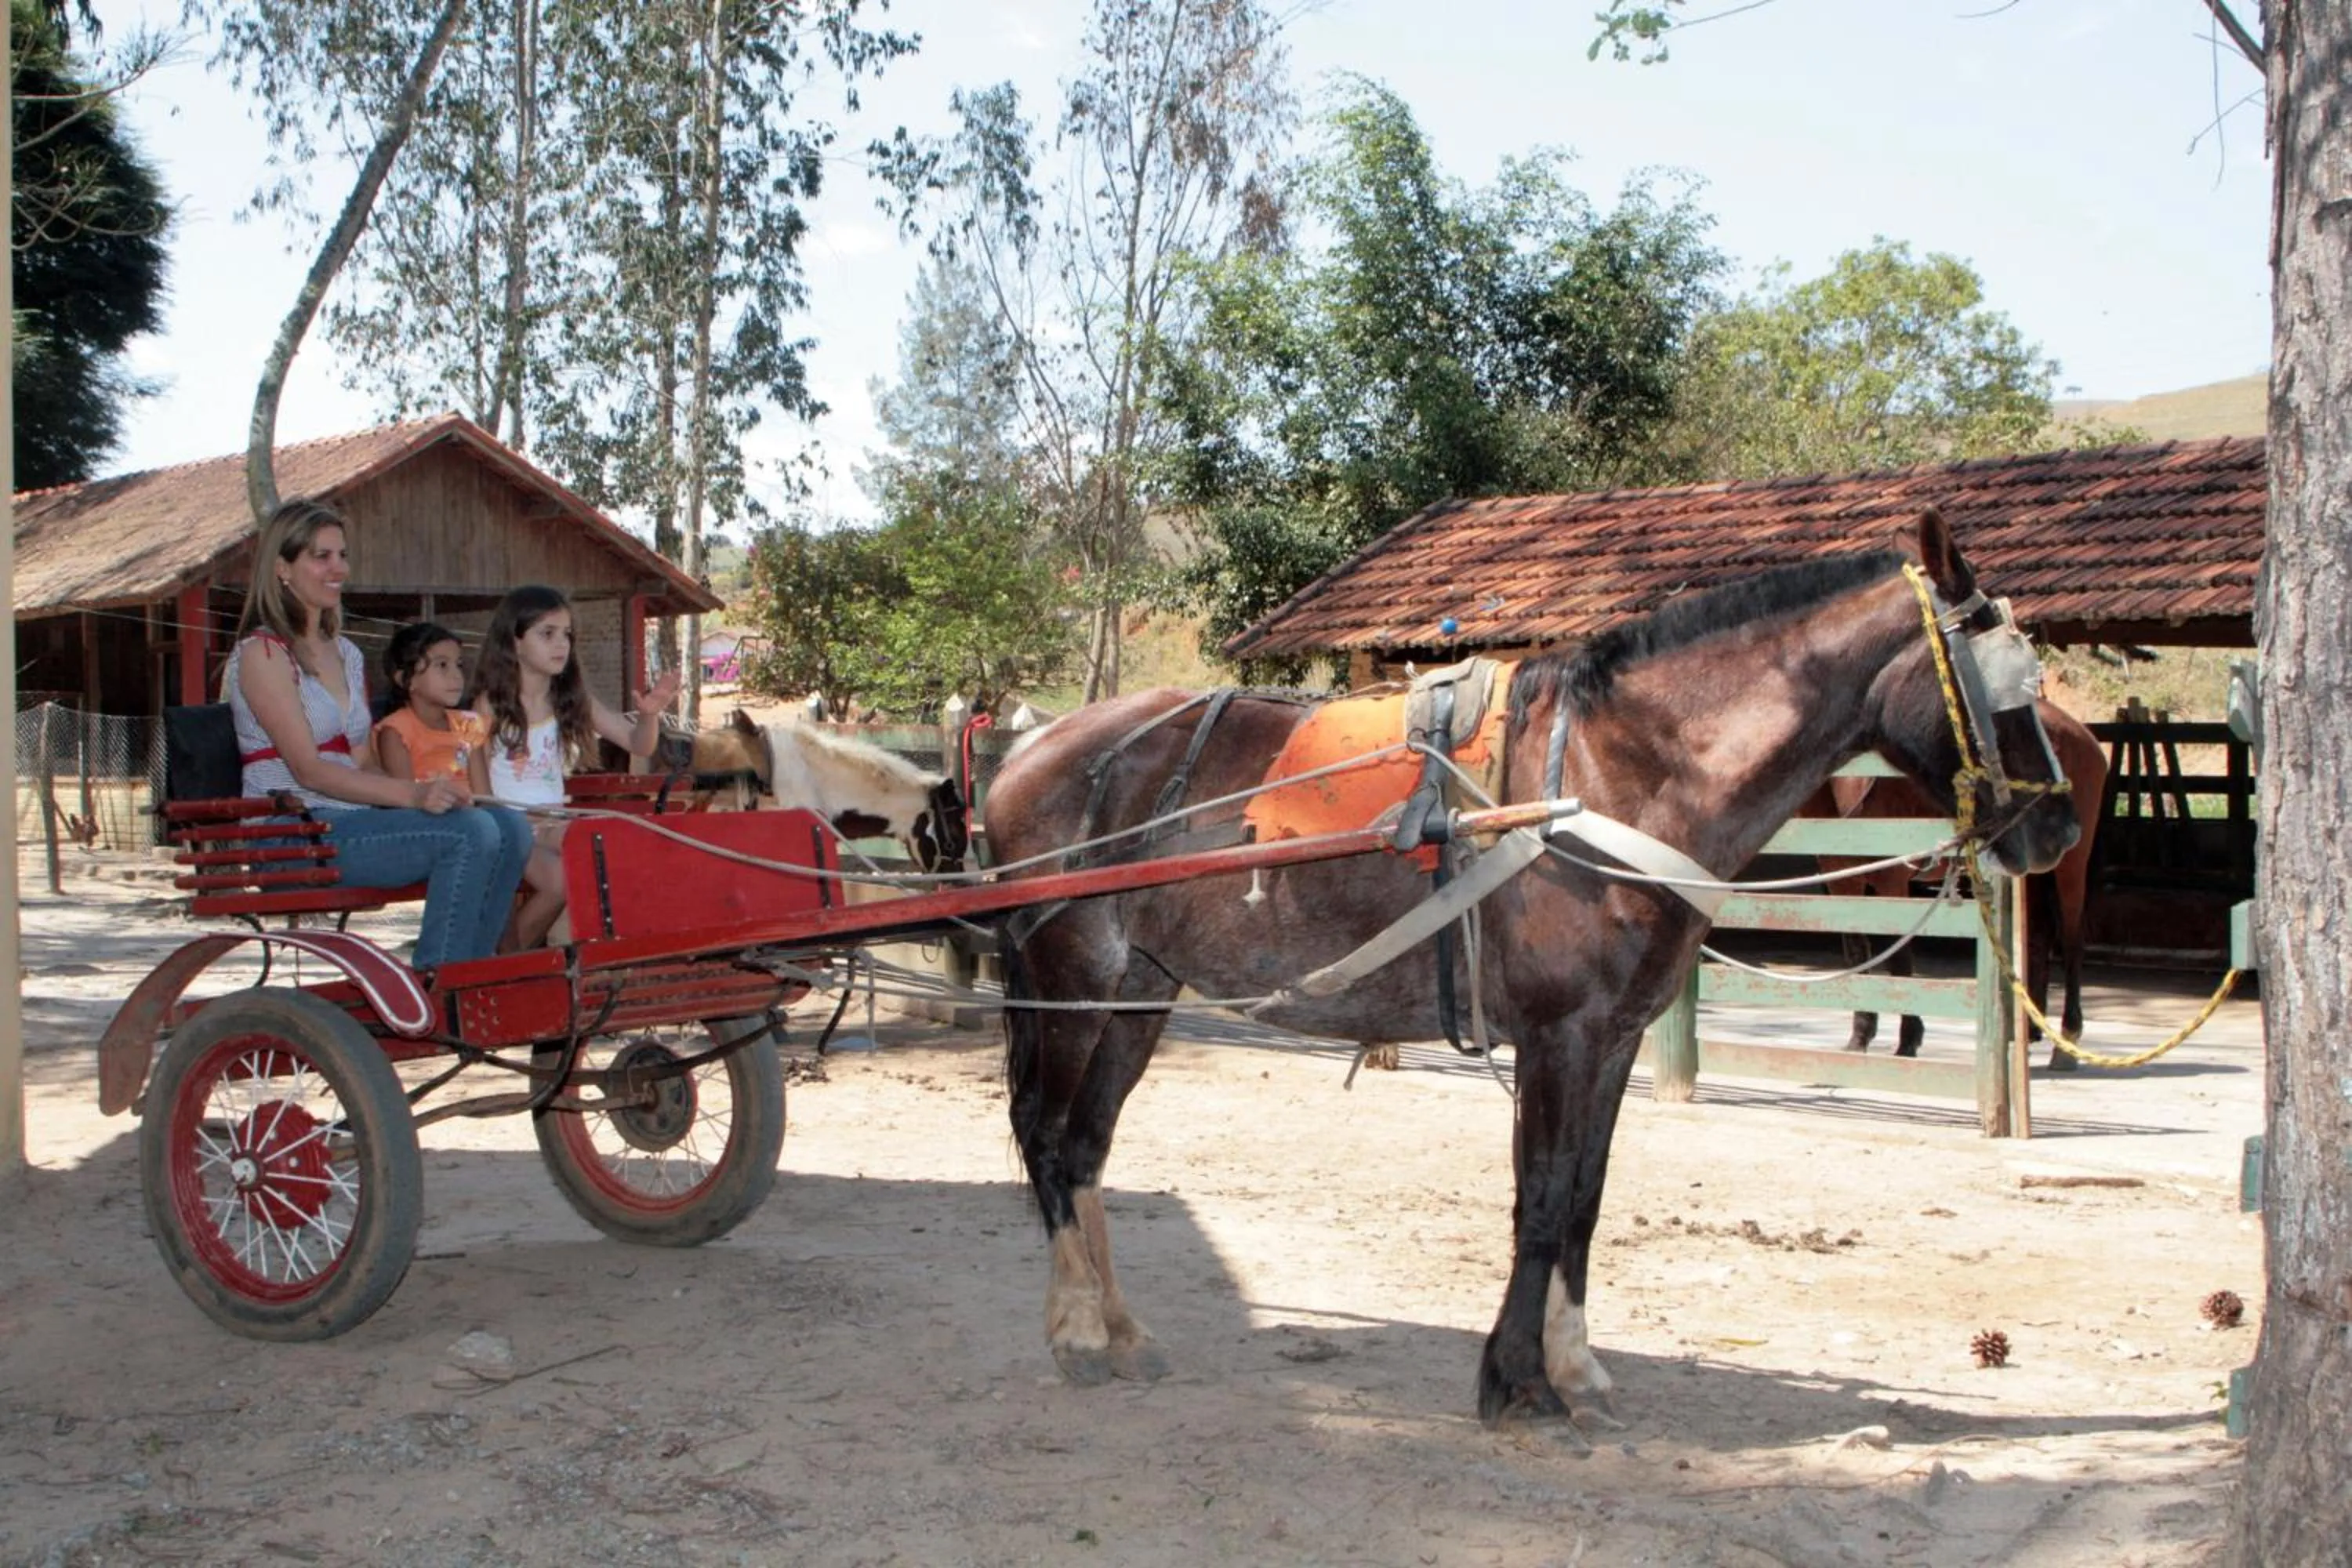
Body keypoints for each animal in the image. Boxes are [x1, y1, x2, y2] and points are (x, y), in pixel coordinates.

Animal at [1807, 701, 2106, 1068]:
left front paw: (1908, 1040)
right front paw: (1860, 1037)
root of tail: (2083, 734)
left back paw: (2066, 1042)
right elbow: (1856, 954)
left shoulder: (1892, 881)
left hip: (2072, 864)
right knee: (2039, 937)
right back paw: (2032, 1031)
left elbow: (1899, 959)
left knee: (2072, 940)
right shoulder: (1841, 878)